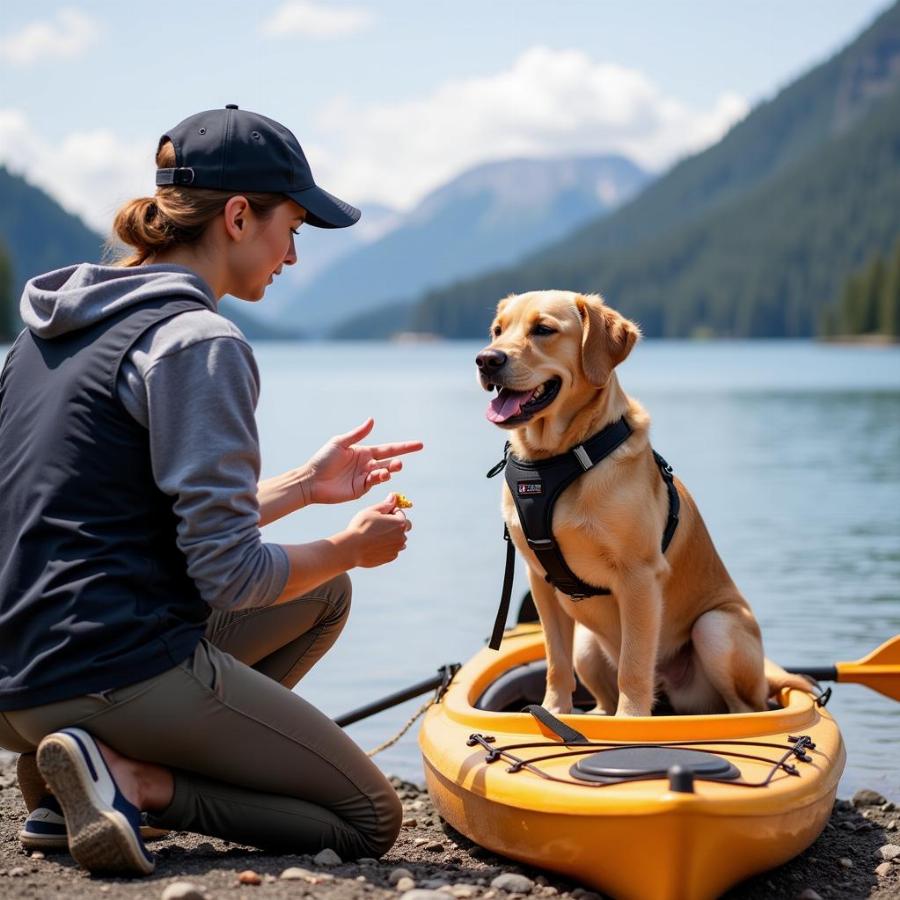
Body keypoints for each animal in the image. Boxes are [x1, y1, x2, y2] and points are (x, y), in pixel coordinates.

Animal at [478, 294, 808, 716]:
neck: (560, 458)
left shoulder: (638, 577)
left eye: (543, 329)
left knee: (746, 707)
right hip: (587, 645)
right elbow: (556, 662)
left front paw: (631, 718)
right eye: (497, 330)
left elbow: (634, 664)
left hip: (716, 628)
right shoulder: (541, 582)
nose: (486, 359)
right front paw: (553, 711)